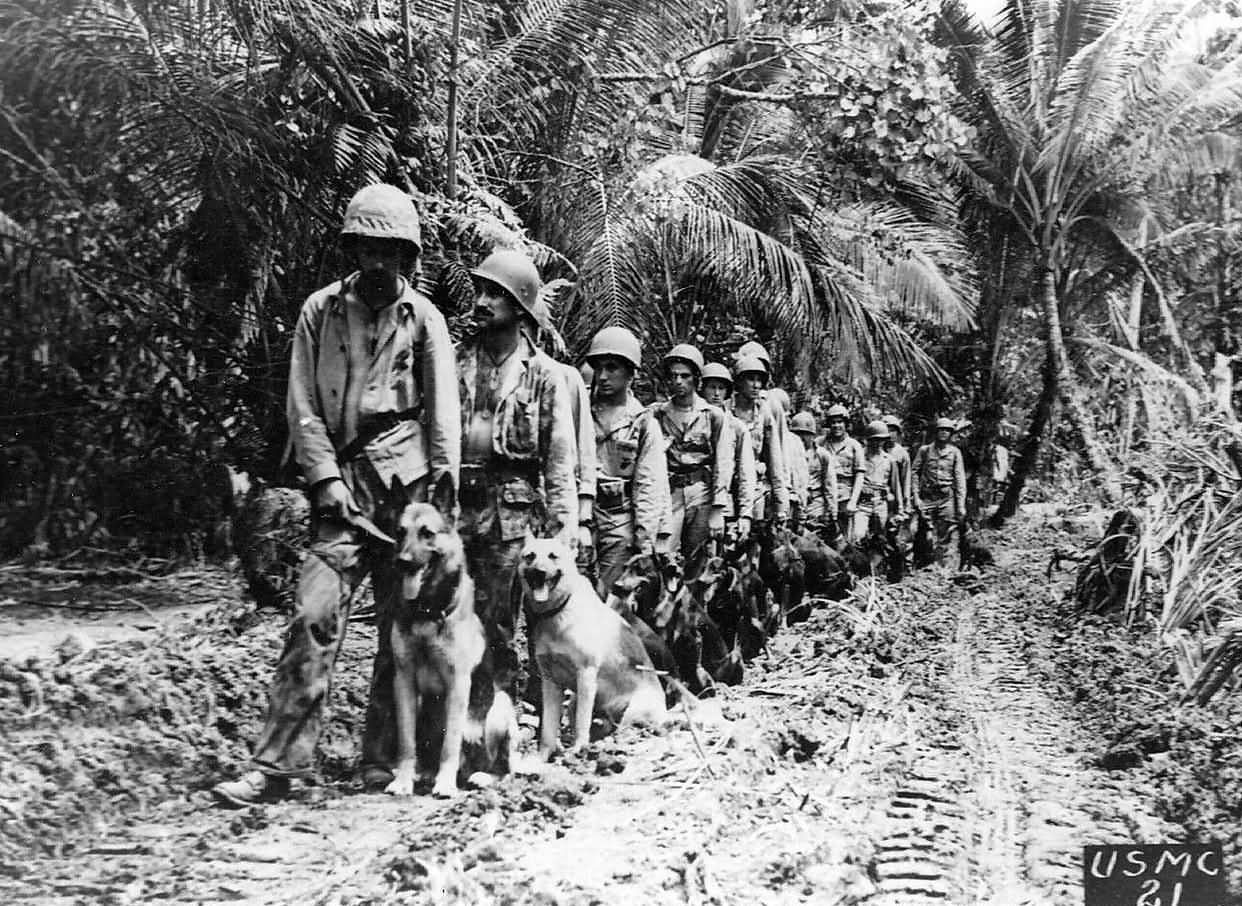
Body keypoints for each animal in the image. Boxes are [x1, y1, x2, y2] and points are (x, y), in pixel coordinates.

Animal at [387, 474, 514, 800]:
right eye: (400, 532)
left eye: (427, 533)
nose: (402, 561)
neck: (426, 611)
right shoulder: (403, 680)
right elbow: (406, 741)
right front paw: (403, 779)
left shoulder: (458, 683)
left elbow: (450, 743)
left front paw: (445, 783)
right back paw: (424, 773)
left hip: (500, 706)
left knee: (503, 766)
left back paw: (480, 776)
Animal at [516, 529, 670, 755]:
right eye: (530, 556)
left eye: (553, 556)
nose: (538, 572)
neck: (559, 611)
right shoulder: (550, 682)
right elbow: (548, 730)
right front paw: (543, 756)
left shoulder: (586, 675)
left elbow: (582, 723)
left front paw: (579, 748)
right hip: (574, 701)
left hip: (630, 712)